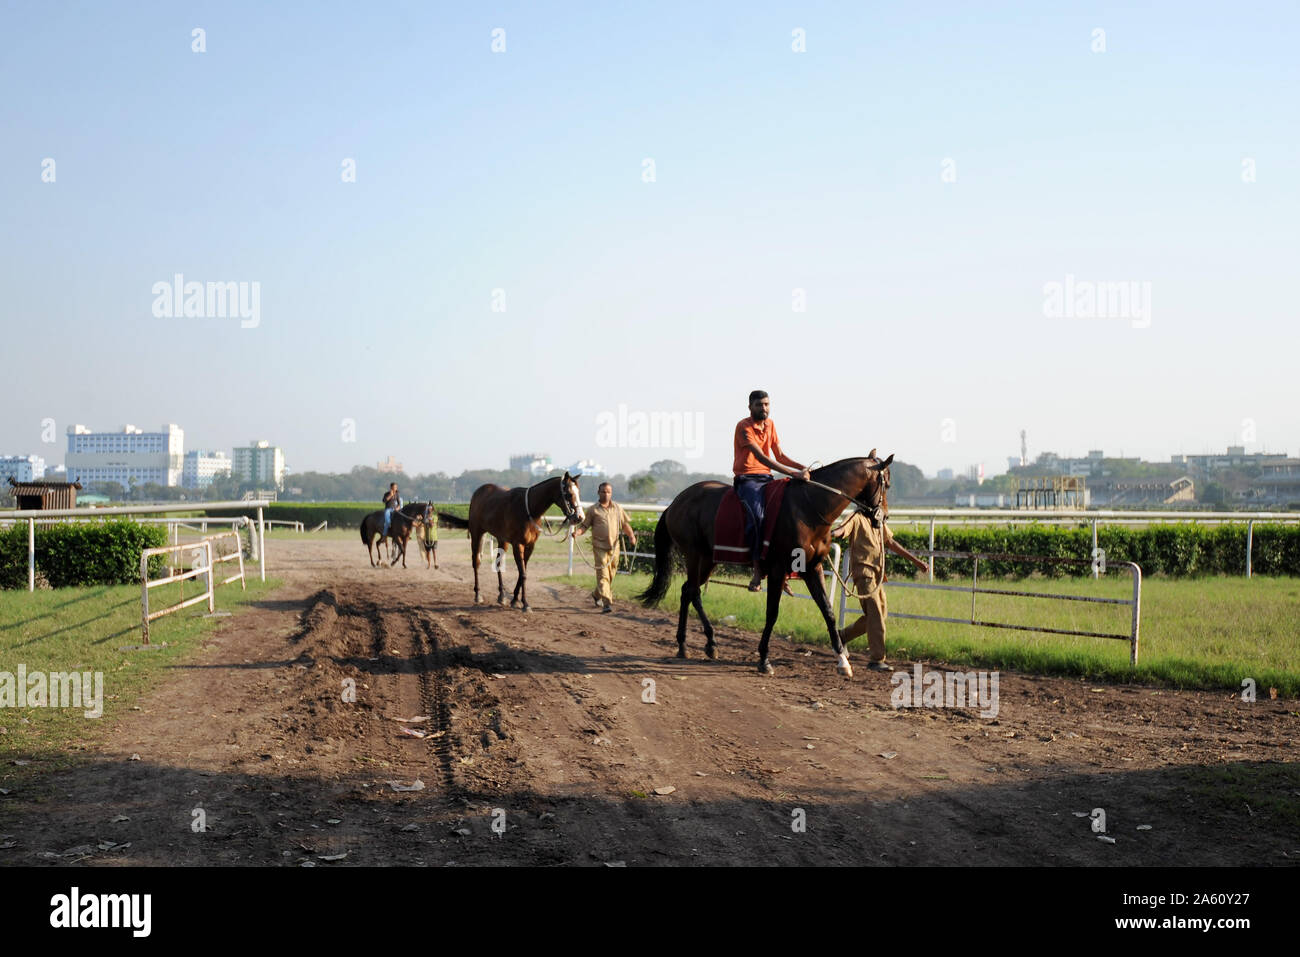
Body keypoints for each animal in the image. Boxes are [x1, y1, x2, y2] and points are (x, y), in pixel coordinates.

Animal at [452, 473, 585, 613]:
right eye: (569, 494)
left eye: (578, 492)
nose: (580, 517)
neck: (529, 509)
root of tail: (478, 493)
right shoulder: (517, 545)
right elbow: (523, 574)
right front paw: (525, 604)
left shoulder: (530, 546)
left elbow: (522, 573)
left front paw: (515, 600)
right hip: (477, 534)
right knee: (476, 562)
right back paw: (478, 594)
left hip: (502, 540)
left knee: (498, 564)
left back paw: (502, 595)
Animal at [637, 452, 894, 676]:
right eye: (887, 485)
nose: (882, 517)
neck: (809, 508)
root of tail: (675, 502)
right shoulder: (778, 569)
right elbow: (772, 613)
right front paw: (764, 659)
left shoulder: (812, 568)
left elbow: (828, 611)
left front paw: (842, 660)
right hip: (694, 554)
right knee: (692, 592)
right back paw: (701, 643)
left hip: (709, 558)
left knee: (687, 592)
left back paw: (693, 644)